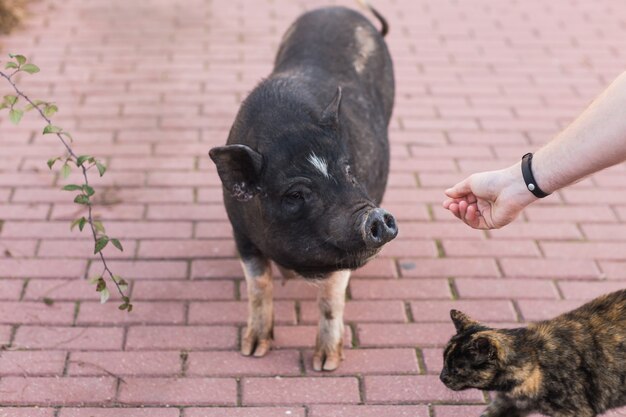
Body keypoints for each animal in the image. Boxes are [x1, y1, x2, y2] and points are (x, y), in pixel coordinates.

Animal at [210, 4, 394, 370]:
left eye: (349, 169)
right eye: (295, 194)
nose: (377, 217)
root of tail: (343, 8)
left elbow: (330, 298)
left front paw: (325, 364)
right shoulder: (240, 230)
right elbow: (258, 285)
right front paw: (252, 350)